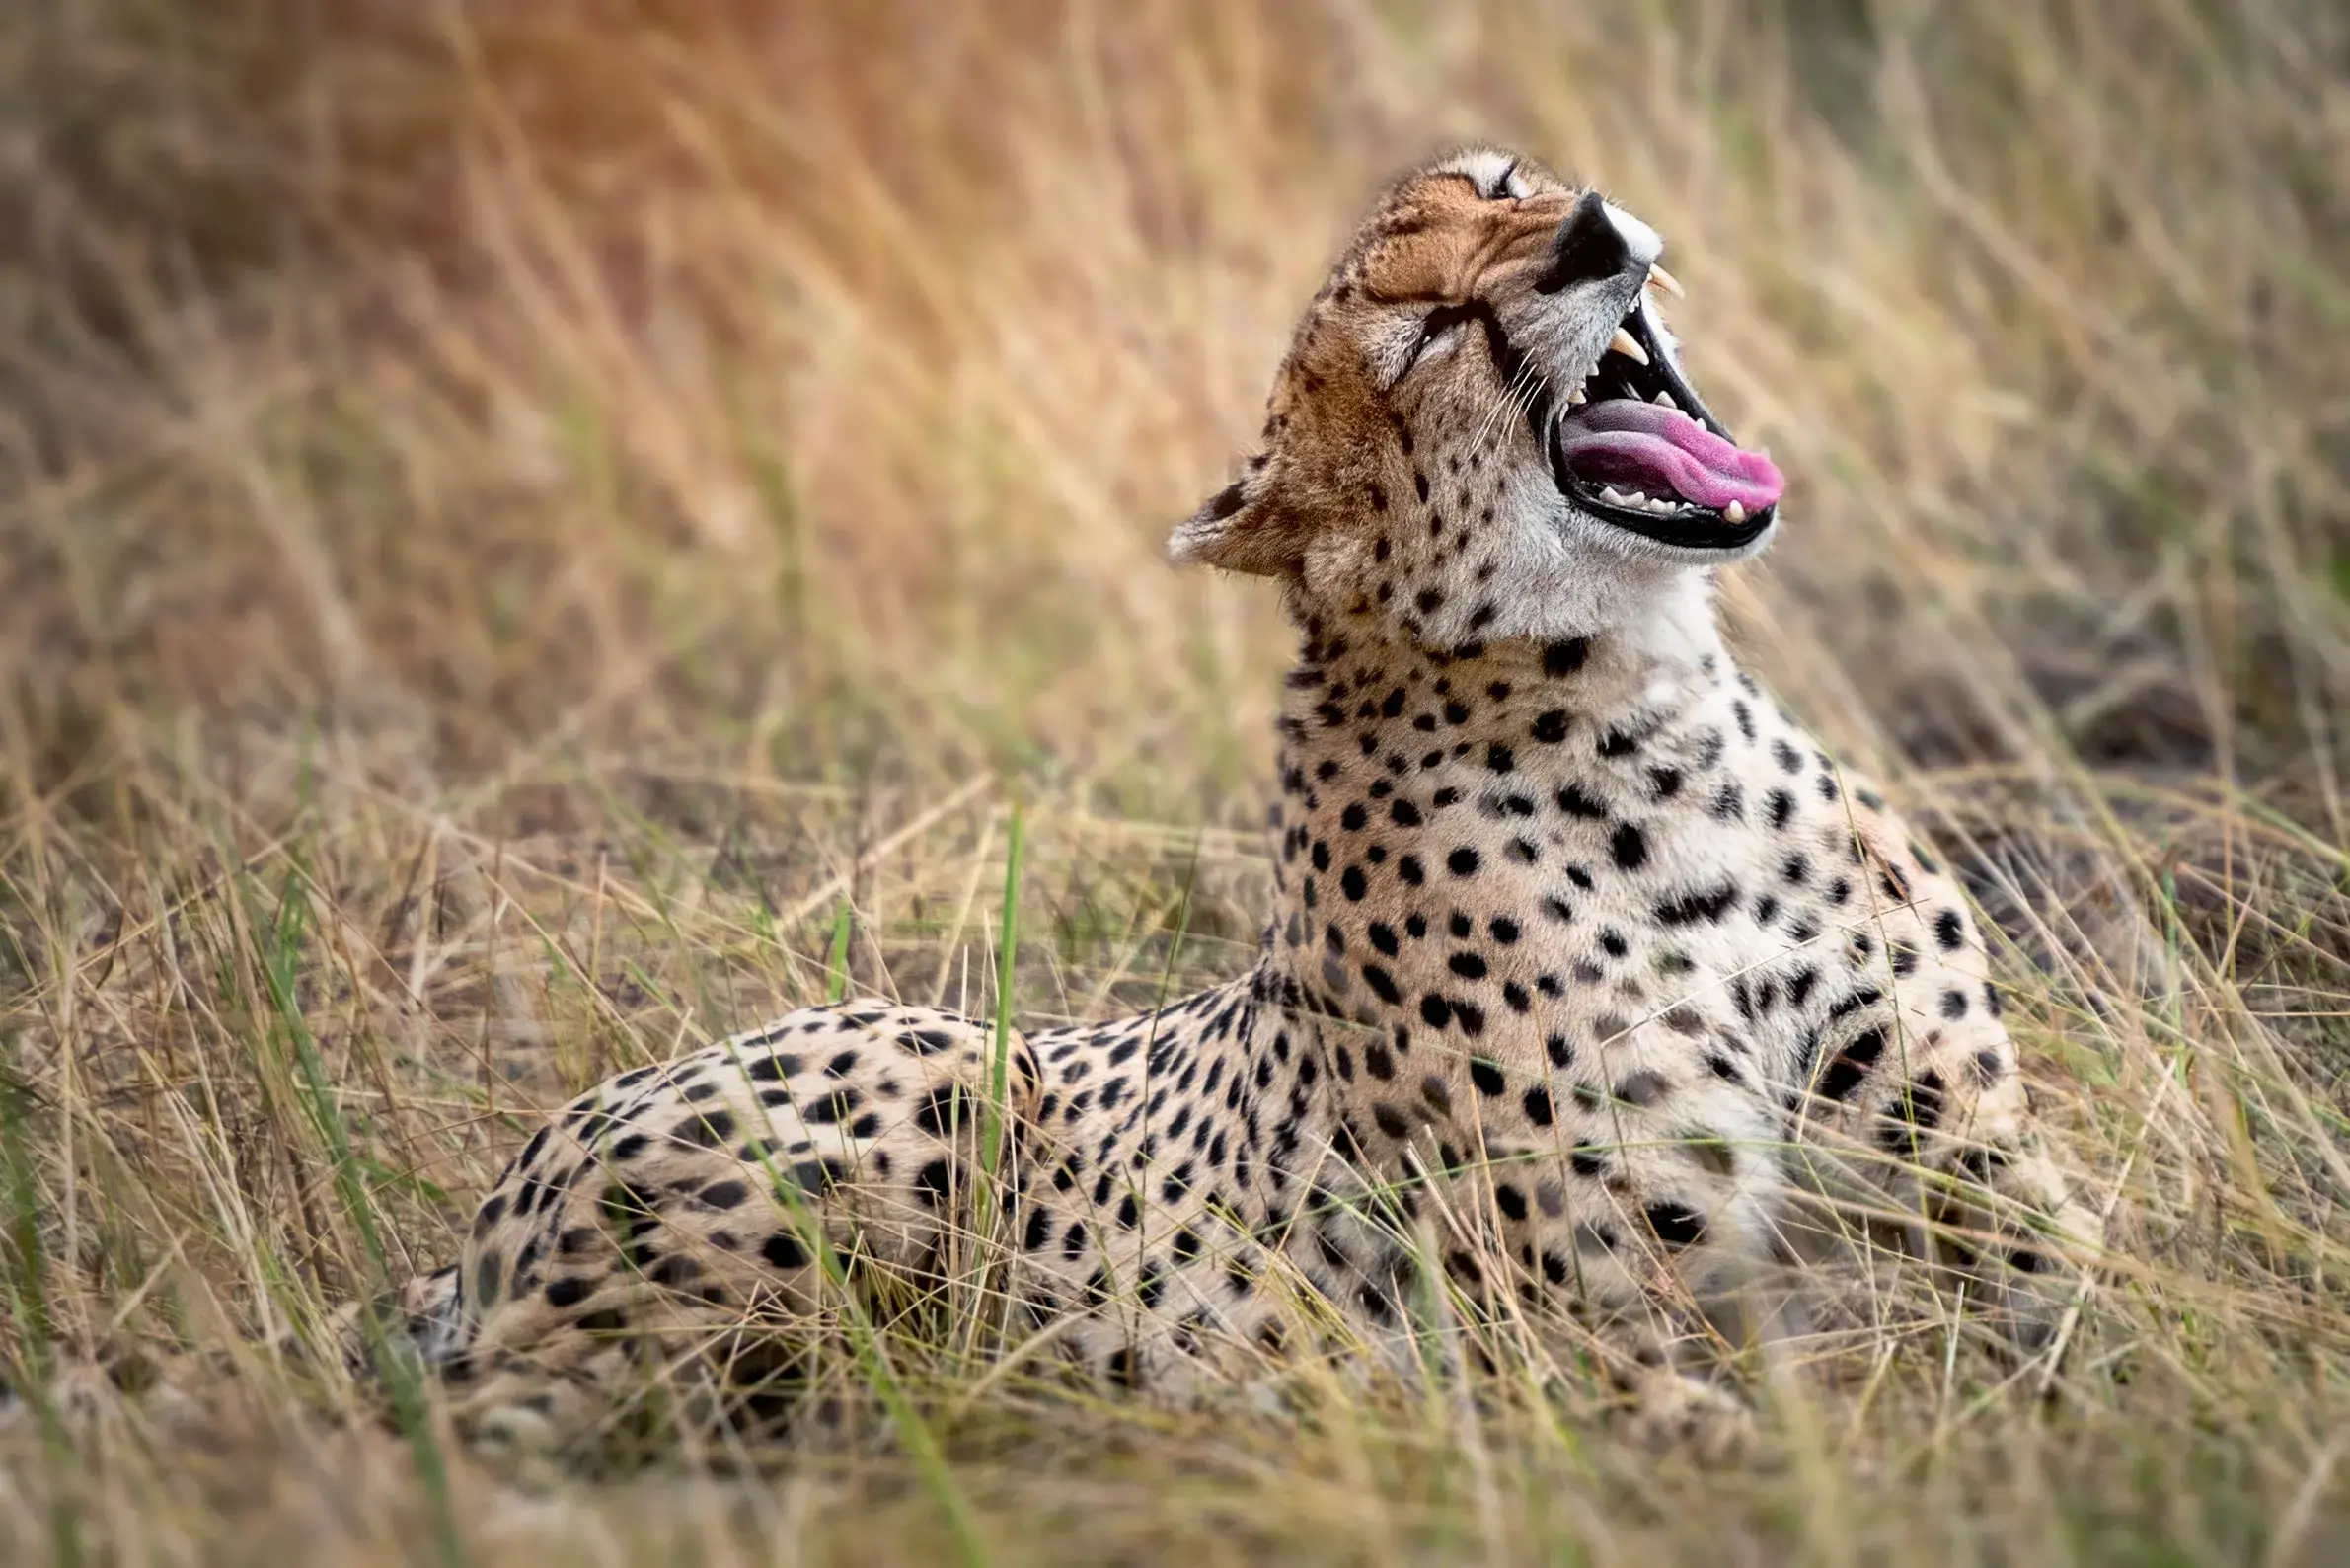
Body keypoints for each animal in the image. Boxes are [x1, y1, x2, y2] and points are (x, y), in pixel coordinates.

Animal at [380, 146, 2095, 1457]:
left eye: (1503, 184)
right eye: (1428, 333)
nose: (1596, 233)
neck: (1649, 723)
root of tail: (479, 1228)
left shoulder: (1958, 1153)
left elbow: (2088, 1282)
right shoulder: (1580, 1323)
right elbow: (1727, 1414)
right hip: (915, 1084)